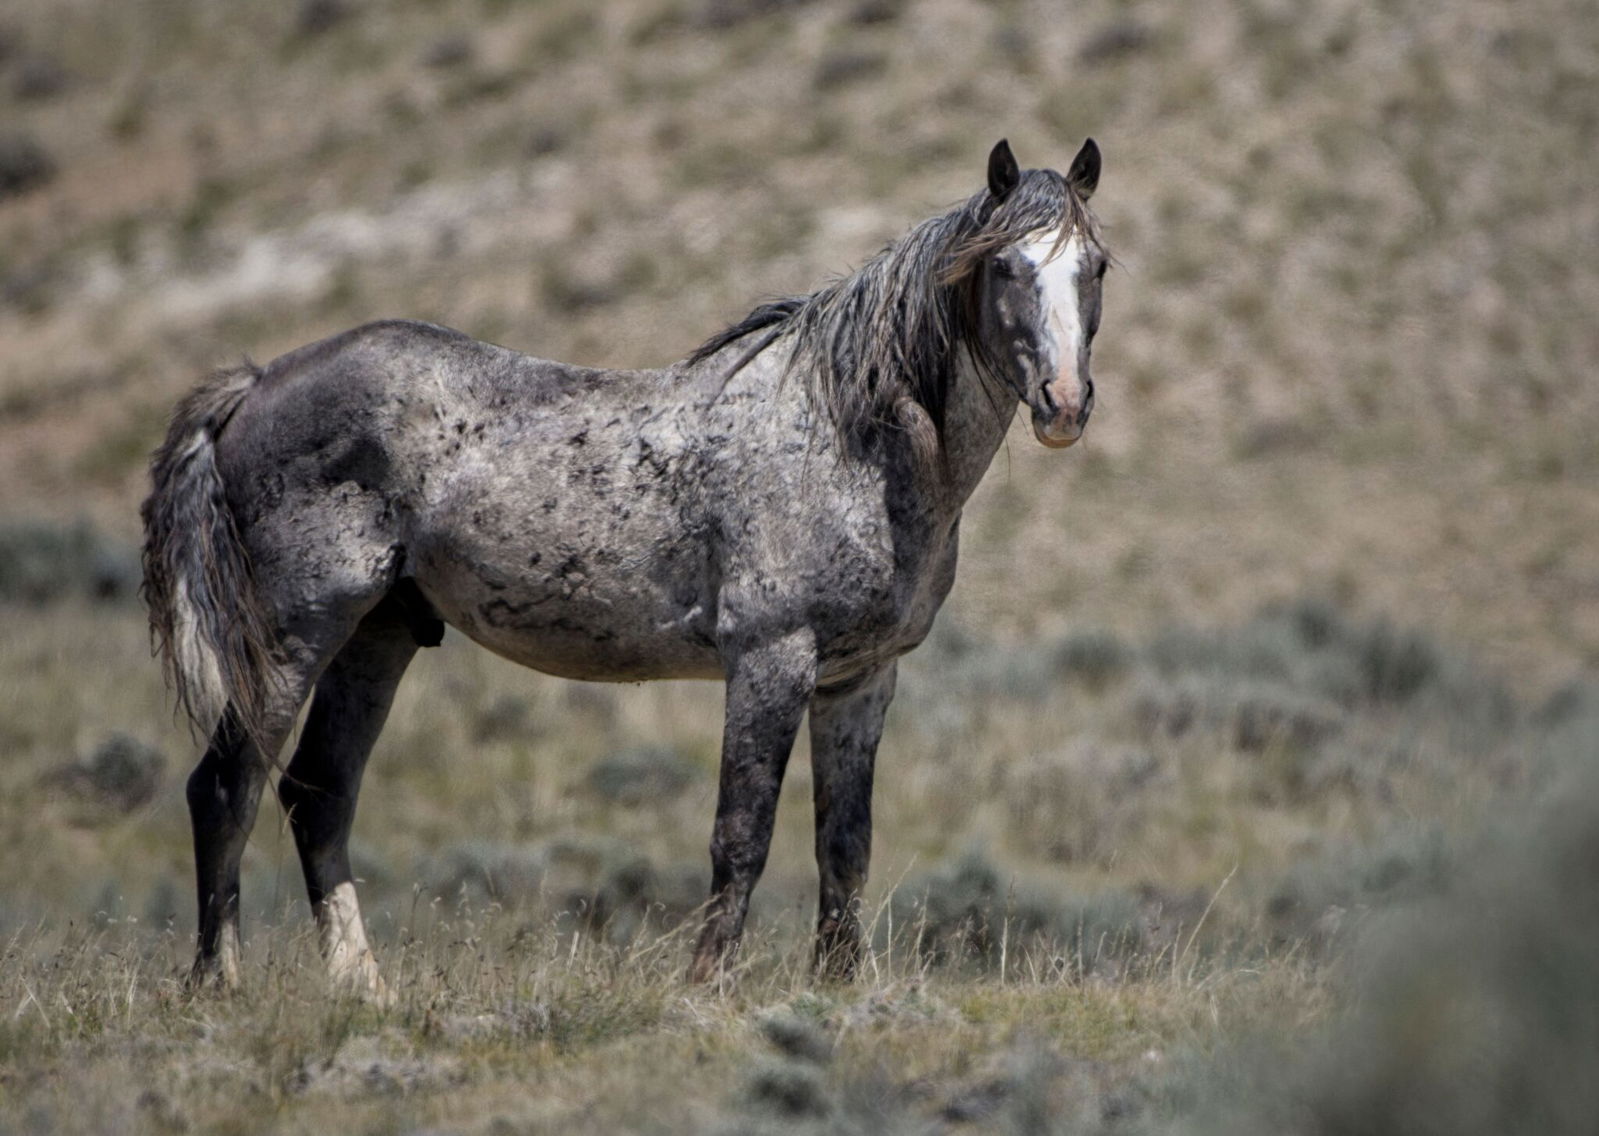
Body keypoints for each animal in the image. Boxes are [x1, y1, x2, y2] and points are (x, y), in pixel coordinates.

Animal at [141, 137, 1108, 994]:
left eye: (1094, 266)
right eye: (1005, 266)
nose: (1063, 404)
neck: (846, 437)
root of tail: (254, 385)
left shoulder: (859, 680)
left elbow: (845, 843)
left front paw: (835, 987)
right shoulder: (770, 660)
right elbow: (741, 834)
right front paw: (707, 987)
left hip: (378, 636)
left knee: (318, 796)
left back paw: (362, 988)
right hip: (295, 637)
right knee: (225, 788)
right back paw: (218, 984)